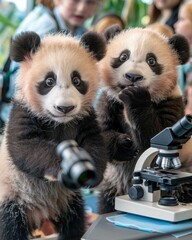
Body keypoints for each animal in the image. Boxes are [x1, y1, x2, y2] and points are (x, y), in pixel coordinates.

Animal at [0, 31, 108, 240]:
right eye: (49, 81)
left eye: (77, 80)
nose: (65, 108)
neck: (58, 123)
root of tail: (40, 215)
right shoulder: (23, 112)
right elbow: (24, 148)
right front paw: (62, 166)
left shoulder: (84, 119)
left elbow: (95, 142)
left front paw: (92, 173)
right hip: (11, 195)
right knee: (9, 226)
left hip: (67, 200)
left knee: (74, 221)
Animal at [97, 25, 190, 214]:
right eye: (123, 56)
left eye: (151, 61)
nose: (133, 76)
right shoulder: (108, 101)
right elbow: (101, 133)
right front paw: (123, 146)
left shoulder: (171, 101)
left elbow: (155, 136)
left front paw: (136, 98)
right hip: (111, 184)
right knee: (106, 202)